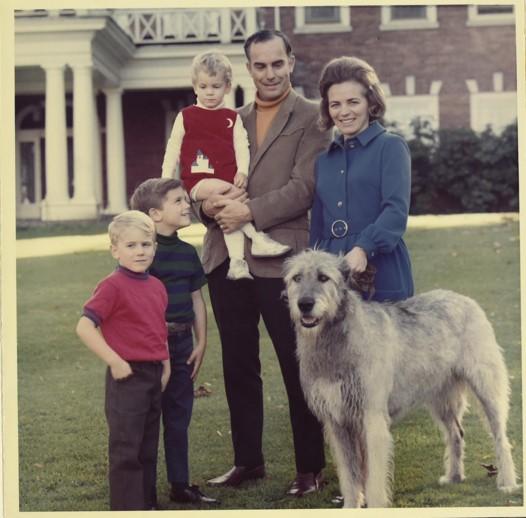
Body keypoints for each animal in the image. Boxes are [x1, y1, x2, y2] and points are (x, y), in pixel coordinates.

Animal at [284, 250, 520, 510]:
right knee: (456, 433)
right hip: (441, 397)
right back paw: (454, 476)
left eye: (324, 277)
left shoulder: (372, 418)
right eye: (296, 278)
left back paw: (507, 482)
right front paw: (351, 505)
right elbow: (349, 473)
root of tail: (464, 298)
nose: (304, 304)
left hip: (486, 386)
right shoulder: (337, 423)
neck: (335, 338)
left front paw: (374, 505)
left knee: (500, 436)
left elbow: (374, 476)